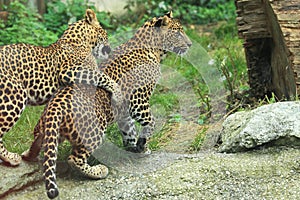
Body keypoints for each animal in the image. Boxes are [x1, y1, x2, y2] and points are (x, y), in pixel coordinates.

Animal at [0, 9, 122, 166]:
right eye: (105, 33)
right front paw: (117, 92)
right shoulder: (69, 71)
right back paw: (10, 157)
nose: (110, 48)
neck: (78, 41)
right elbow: (101, 76)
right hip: (15, 97)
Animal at [22, 11, 192, 199]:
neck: (154, 50)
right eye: (178, 33)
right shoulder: (138, 101)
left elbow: (129, 131)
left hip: (48, 131)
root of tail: (55, 105)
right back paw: (99, 171)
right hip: (94, 130)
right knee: (75, 159)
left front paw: (133, 149)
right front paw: (143, 145)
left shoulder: (124, 111)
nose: (190, 44)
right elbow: (151, 122)